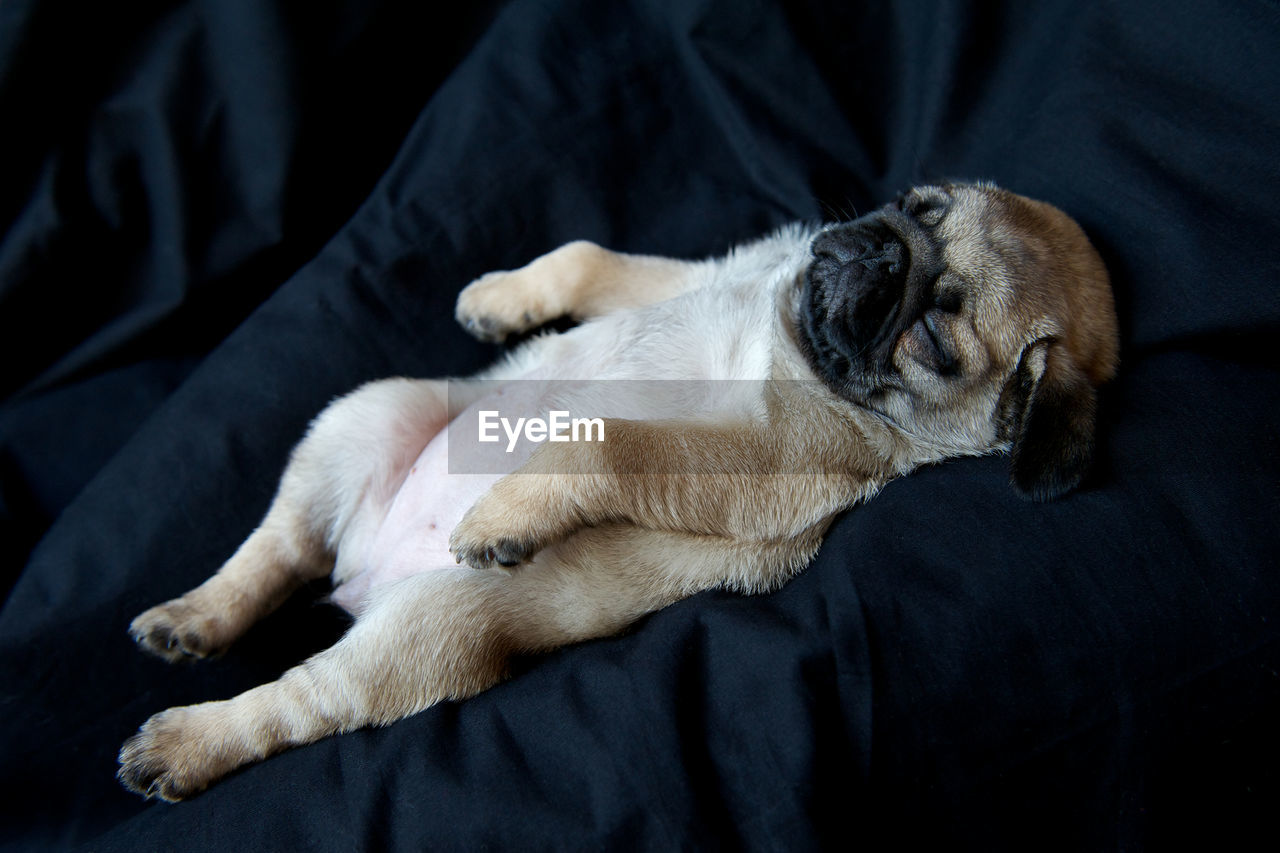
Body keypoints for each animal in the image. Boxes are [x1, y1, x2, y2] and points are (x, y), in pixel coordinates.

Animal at [120, 179, 1121, 799]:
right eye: (916, 204)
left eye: (937, 340)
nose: (880, 255)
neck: (787, 330)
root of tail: (367, 570)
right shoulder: (727, 269)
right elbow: (591, 258)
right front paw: (504, 300)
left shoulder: (758, 460)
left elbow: (605, 445)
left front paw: (508, 508)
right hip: (369, 415)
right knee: (282, 545)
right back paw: (193, 616)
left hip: (428, 625)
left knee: (302, 696)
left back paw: (187, 741)